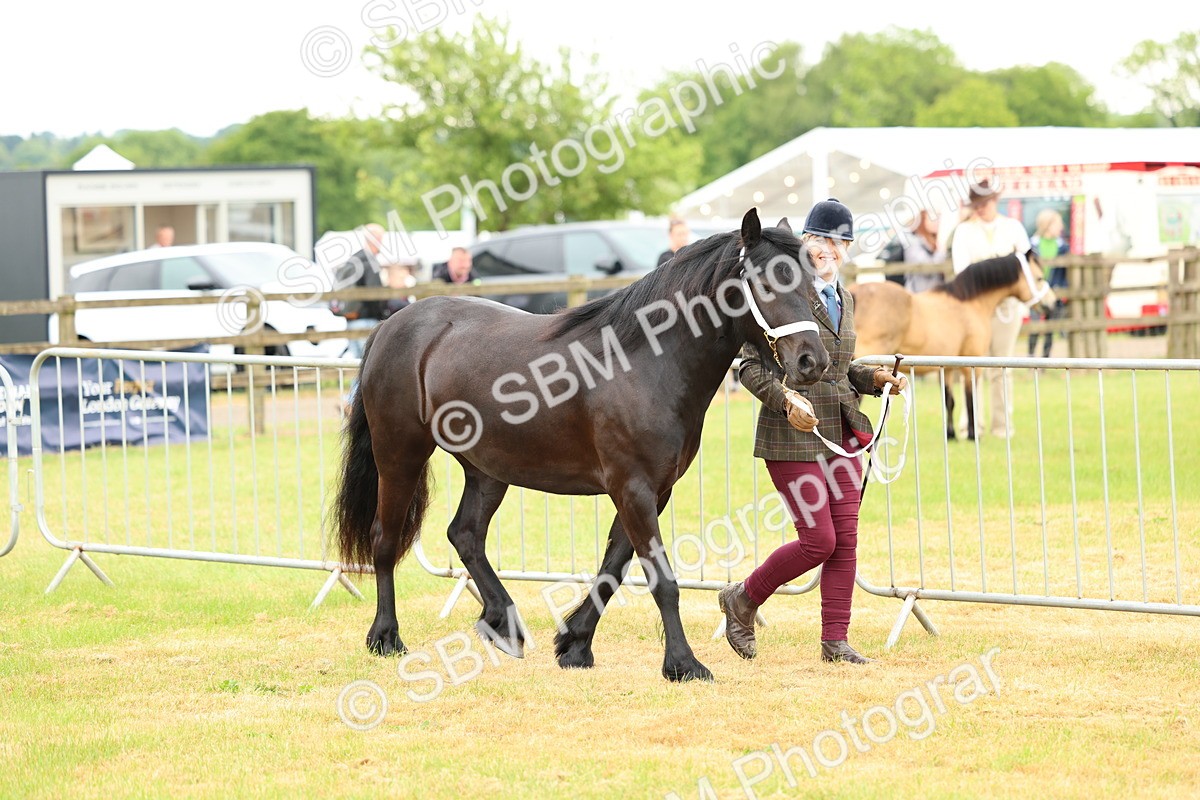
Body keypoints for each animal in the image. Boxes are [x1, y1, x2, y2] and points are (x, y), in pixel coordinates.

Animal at [333, 208, 830, 682]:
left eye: (809, 280)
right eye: (766, 281)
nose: (813, 361)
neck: (647, 362)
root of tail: (391, 325)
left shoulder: (653, 491)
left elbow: (614, 567)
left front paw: (574, 645)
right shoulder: (633, 488)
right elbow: (661, 579)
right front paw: (684, 664)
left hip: (487, 469)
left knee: (466, 534)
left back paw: (503, 624)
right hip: (399, 456)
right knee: (385, 540)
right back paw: (386, 636)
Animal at [850, 251, 1053, 440]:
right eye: (1039, 277)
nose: (1050, 305)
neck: (969, 302)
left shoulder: (946, 368)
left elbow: (949, 400)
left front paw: (951, 434)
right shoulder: (971, 364)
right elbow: (970, 399)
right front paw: (973, 435)